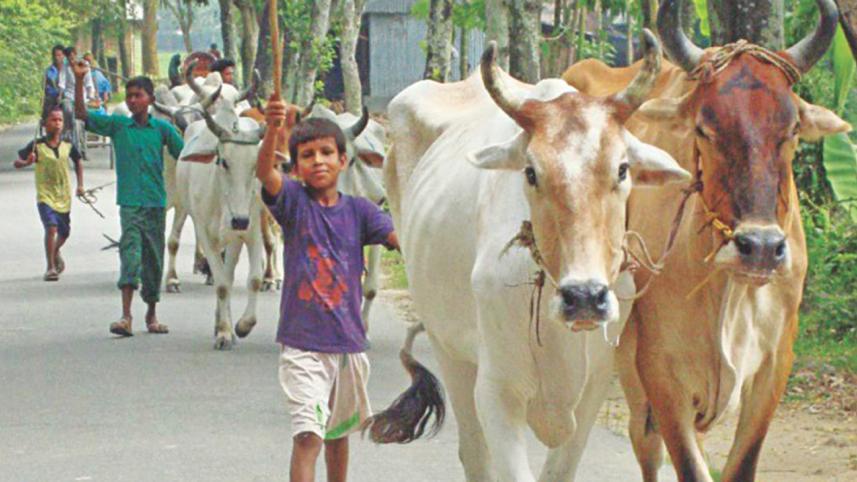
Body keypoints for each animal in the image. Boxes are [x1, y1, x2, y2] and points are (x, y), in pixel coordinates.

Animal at [364, 32, 691, 481]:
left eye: (623, 169)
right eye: (531, 172)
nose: (584, 297)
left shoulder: (593, 389)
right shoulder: (497, 392)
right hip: (448, 347)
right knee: (474, 453)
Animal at [562, 1, 851, 481]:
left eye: (791, 130)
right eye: (704, 128)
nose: (761, 248)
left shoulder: (773, 368)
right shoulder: (660, 370)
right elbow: (686, 463)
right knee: (641, 442)